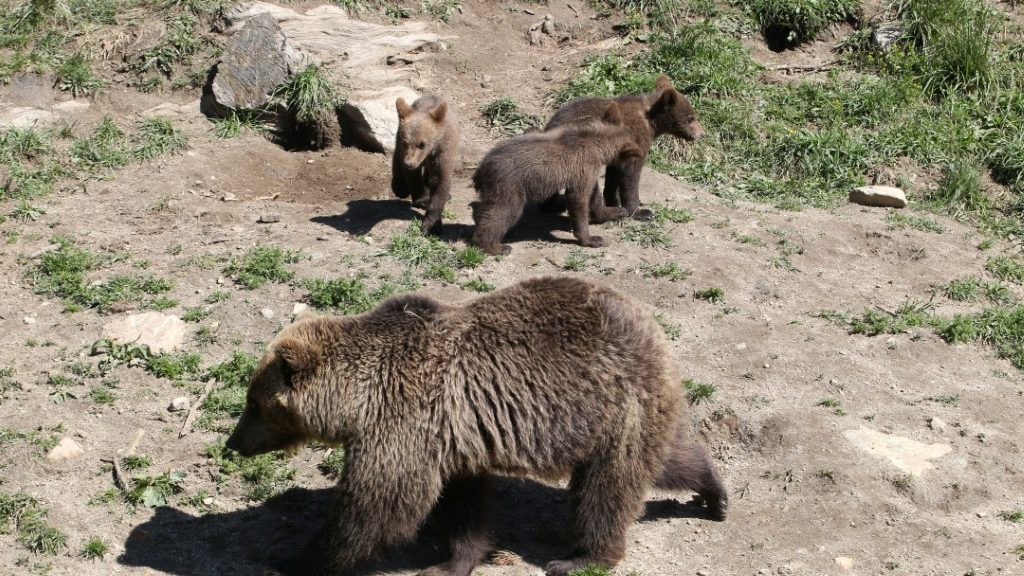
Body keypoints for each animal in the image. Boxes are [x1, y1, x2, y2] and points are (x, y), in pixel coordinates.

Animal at [225, 276, 728, 576]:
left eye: (254, 403)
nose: (233, 442)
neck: (358, 398)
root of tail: (650, 322)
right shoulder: (452, 439)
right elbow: (463, 508)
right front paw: (452, 561)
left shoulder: (403, 422)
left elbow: (376, 507)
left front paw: (293, 557)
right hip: (620, 414)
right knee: (664, 460)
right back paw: (714, 493)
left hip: (613, 406)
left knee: (607, 489)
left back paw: (579, 557)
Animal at [392, 94, 459, 236]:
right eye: (406, 142)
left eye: (422, 144)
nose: (409, 163)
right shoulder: (404, 149)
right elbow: (413, 177)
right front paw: (422, 200)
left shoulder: (442, 153)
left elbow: (440, 181)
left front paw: (431, 225)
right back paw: (399, 187)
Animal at [470, 103, 643, 256]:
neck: (596, 145)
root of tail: (481, 168)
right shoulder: (584, 168)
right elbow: (578, 200)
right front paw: (592, 239)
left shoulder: (587, 172)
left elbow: (593, 194)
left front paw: (614, 211)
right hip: (508, 186)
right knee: (502, 213)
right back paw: (495, 246)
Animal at [542, 75, 705, 221]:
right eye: (690, 118)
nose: (702, 134)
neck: (651, 123)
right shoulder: (636, 139)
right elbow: (631, 174)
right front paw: (641, 212)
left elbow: (614, 174)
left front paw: (614, 201)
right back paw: (607, 214)